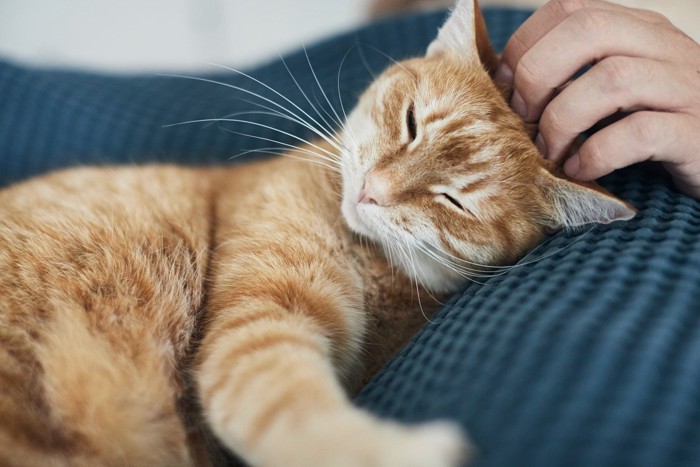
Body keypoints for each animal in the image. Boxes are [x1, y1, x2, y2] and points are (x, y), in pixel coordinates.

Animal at [0, 0, 636, 467]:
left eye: (454, 201)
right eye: (410, 122)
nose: (374, 190)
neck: (362, 254)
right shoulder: (260, 323)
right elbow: (288, 407)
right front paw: (400, 452)